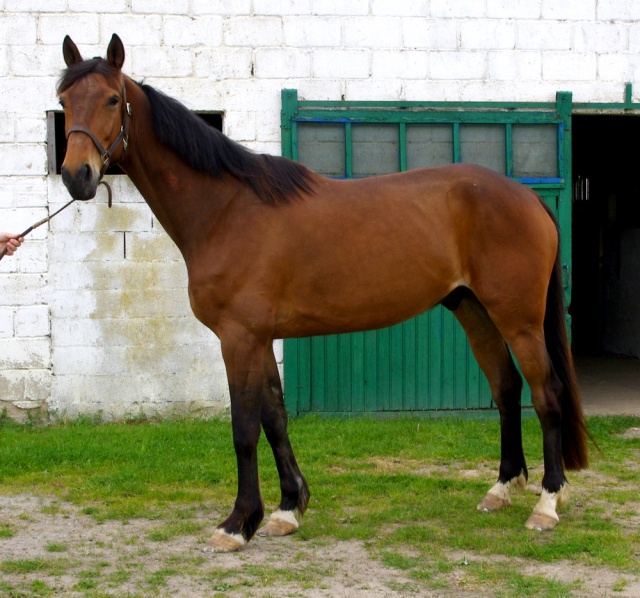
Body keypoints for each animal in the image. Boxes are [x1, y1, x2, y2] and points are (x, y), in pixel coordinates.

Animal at [57, 35, 588, 556]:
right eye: (63, 101)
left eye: (112, 99)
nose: (76, 175)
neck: (226, 209)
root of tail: (528, 196)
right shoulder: (259, 338)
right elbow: (275, 417)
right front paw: (288, 509)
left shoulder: (239, 337)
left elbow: (244, 429)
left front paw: (237, 524)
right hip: (474, 311)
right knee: (507, 389)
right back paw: (501, 488)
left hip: (518, 319)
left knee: (546, 394)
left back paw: (547, 504)